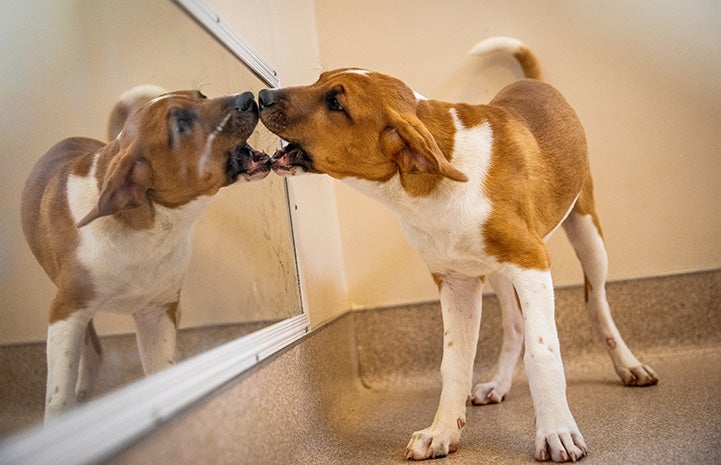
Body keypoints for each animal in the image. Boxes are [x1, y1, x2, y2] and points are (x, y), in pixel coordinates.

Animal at [23, 85, 270, 418]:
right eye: (180, 124)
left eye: (201, 96)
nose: (248, 97)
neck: (149, 231)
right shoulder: (66, 312)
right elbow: (59, 398)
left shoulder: (157, 314)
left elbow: (161, 373)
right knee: (91, 348)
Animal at [258, 38, 660, 462]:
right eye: (318, 80)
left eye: (336, 103)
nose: (261, 96)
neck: (430, 186)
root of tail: (535, 83)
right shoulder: (456, 283)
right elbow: (454, 363)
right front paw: (442, 431)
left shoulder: (531, 262)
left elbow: (542, 354)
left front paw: (556, 431)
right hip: (496, 272)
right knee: (515, 326)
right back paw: (498, 384)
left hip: (587, 234)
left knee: (596, 306)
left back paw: (629, 366)